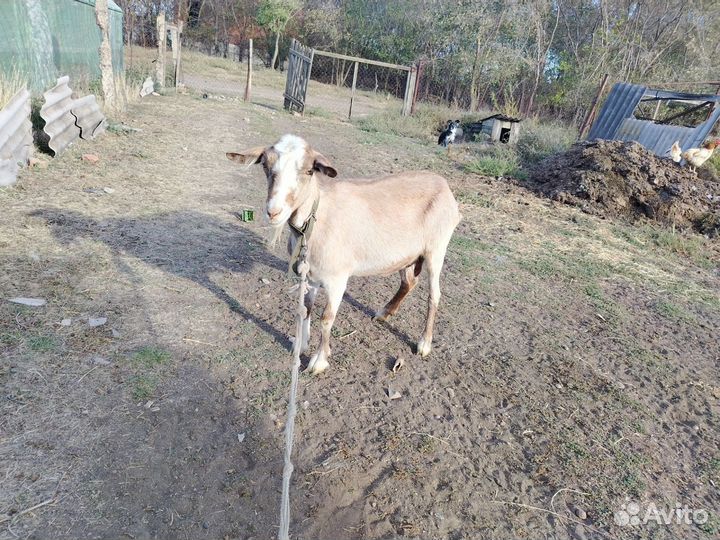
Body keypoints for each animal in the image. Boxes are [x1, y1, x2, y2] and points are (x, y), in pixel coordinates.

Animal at [227, 135, 461, 374]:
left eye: (309, 170)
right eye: (265, 165)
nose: (274, 212)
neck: (315, 219)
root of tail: (444, 186)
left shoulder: (337, 278)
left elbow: (326, 318)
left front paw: (319, 361)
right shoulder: (310, 274)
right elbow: (306, 308)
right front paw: (301, 344)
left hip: (436, 248)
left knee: (434, 294)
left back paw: (424, 343)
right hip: (407, 255)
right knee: (409, 282)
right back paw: (384, 313)